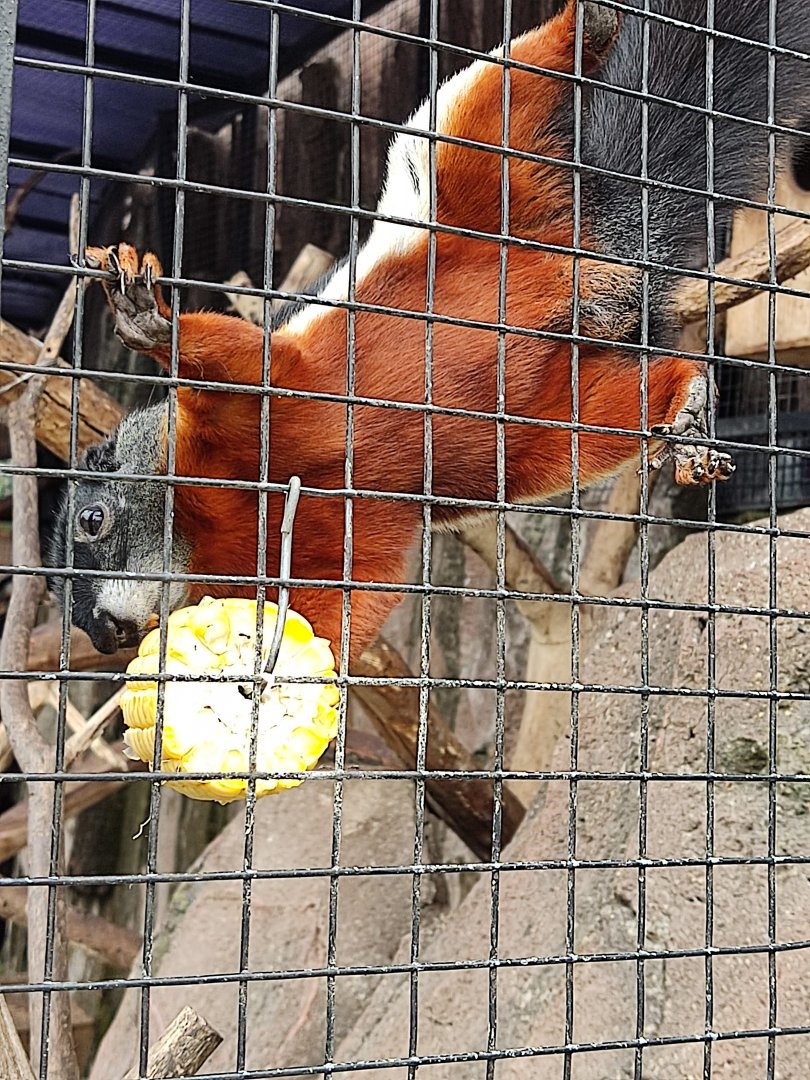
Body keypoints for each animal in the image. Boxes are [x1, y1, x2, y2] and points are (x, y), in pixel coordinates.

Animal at [51, 0, 808, 660]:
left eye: (93, 522)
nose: (104, 635)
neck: (205, 515)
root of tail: (581, 268)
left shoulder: (254, 412)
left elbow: (251, 364)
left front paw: (151, 323)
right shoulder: (330, 544)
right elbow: (332, 615)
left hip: (467, 185)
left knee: (488, 104)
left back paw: (585, 28)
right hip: (540, 424)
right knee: (606, 414)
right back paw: (684, 402)